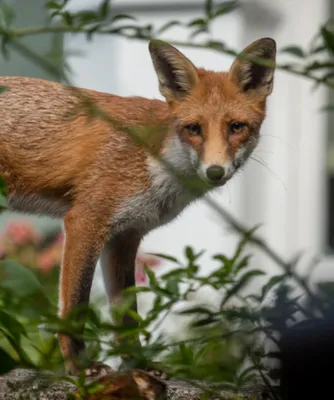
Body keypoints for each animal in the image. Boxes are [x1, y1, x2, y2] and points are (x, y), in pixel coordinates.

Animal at [0, 37, 276, 378]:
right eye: (194, 128)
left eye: (236, 127)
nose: (215, 172)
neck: (155, 161)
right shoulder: (86, 221)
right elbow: (75, 307)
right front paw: (80, 368)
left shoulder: (125, 237)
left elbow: (128, 318)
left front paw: (140, 367)